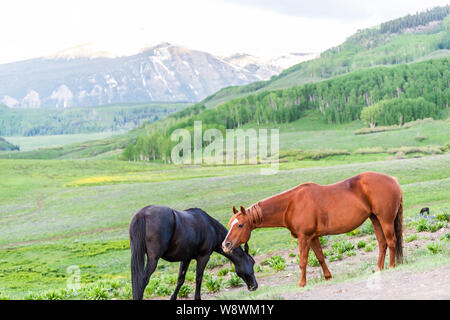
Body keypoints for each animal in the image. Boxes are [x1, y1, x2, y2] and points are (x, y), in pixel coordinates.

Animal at [223, 172, 402, 288]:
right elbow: (320, 257)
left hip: (385, 220)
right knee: (382, 243)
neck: (291, 205)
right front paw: (328, 277)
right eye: (230, 224)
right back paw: (379, 269)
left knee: (391, 241)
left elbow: (303, 261)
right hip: (375, 219)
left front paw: (302, 284)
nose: (226, 245)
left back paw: (392, 266)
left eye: (240, 225)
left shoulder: (304, 237)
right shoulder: (313, 237)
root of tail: (393, 180)